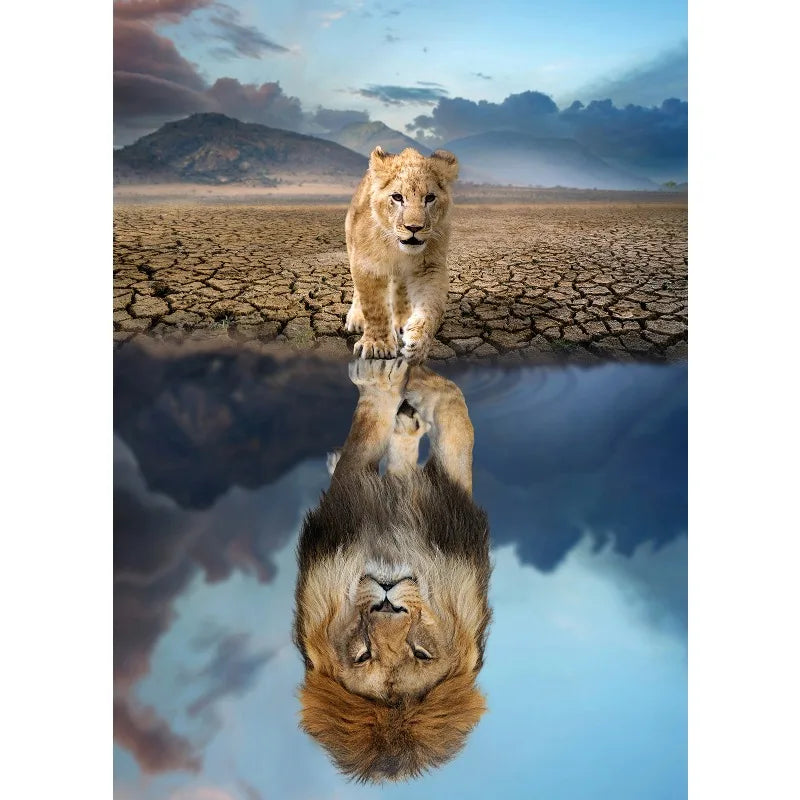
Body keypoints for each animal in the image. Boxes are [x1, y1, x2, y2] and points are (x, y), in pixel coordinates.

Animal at [293, 359, 491, 782]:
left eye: (421, 653)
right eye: (363, 655)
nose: (387, 602)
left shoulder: (447, 510)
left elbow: (453, 422)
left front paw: (398, 384)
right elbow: (452, 418)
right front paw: (399, 383)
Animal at [344, 146, 459, 363]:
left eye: (429, 197)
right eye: (397, 197)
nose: (413, 228)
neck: (397, 249)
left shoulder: (429, 267)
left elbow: (432, 308)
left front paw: (418, 343)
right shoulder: (367, 264)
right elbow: (374, 306)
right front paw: (377, 345)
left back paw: (402, 321)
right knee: (358, 291)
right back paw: (356, 319)